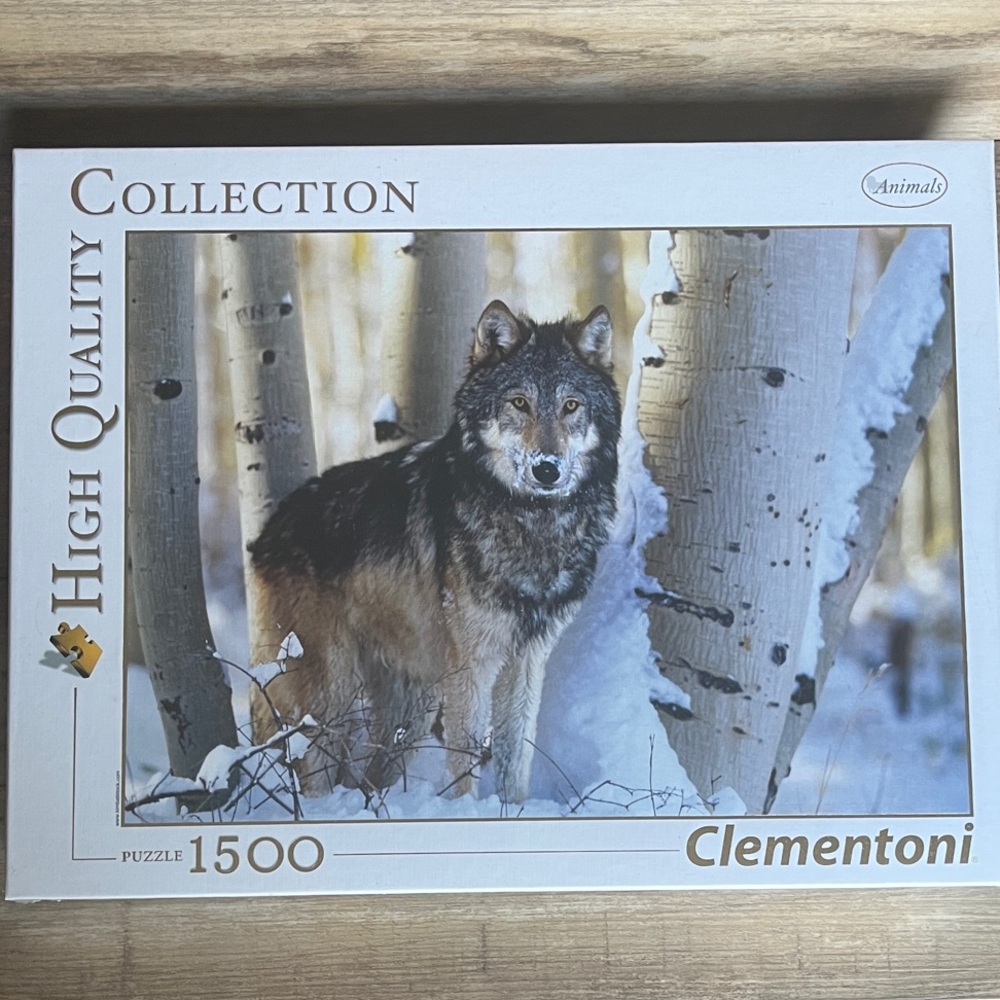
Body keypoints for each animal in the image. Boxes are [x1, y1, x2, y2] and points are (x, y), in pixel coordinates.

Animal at [249, 299, 621, 804]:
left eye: (571, 406)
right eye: (519, 402)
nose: (547, 469)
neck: (533, 523)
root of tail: (268, 531)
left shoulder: (527, 661)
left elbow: (515, 760)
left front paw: (513, 811)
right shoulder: (471, 664)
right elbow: (464, 764)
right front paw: (468, 813)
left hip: (413, 705)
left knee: (370, 777)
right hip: (333, 693)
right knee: (314, 773)